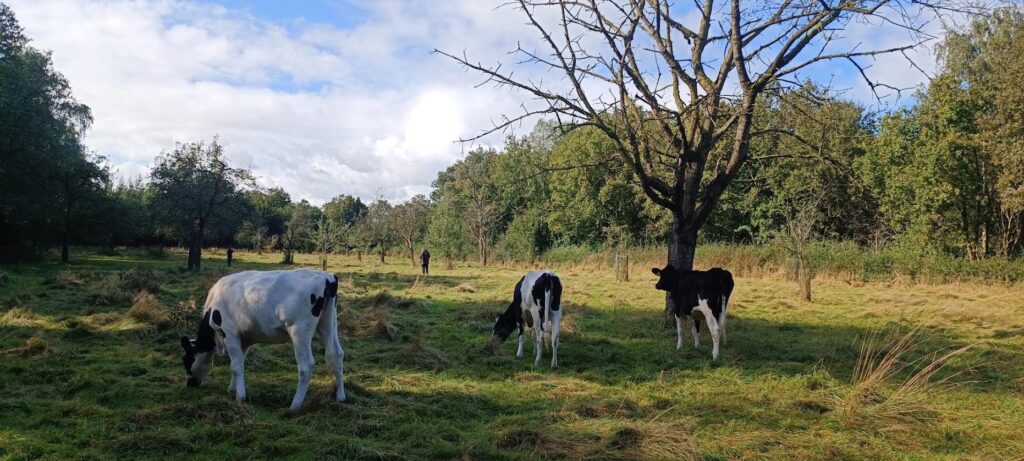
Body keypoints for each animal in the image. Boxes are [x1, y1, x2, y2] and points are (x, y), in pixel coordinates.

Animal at [179, 268, 345, 410]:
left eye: (186, 360)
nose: (189, 384)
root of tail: (327, 277)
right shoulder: (244, 339)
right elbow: (237, 363)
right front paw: (232, 388)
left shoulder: (230, 334)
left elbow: (236, 366)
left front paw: (240, 396)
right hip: (328, 324)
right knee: (336, 354)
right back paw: (340, 397)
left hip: (300, 330)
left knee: (306, 365)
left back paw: (295, 405)